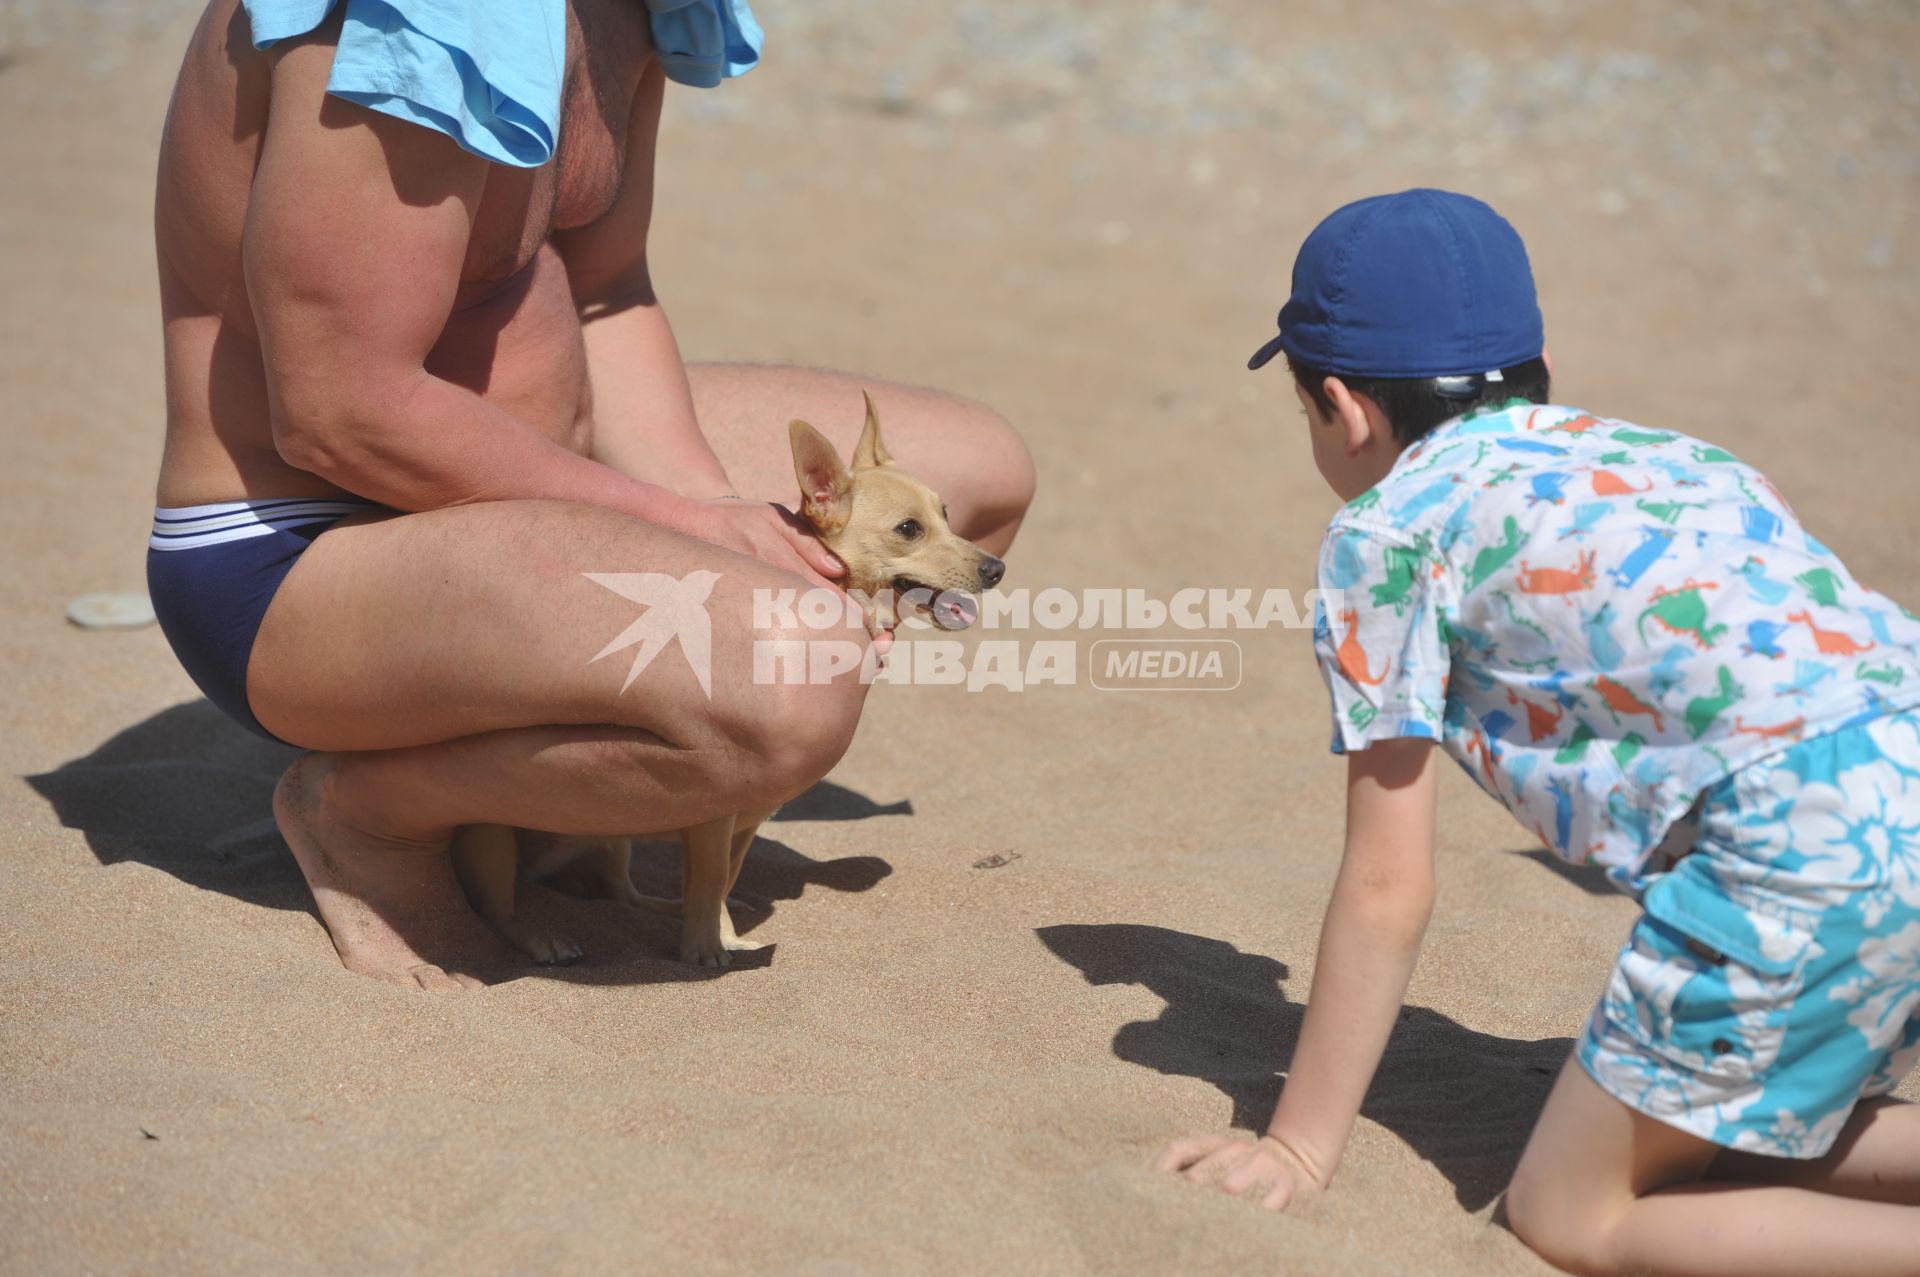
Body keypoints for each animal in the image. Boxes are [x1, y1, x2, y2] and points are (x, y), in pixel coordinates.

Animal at [441, 391, 998, 967]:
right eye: (909, 529)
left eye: (947, 516)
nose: (996, 568)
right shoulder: (712, 824)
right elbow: (710, 882)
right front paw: (705, 951)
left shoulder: (743, 829)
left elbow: (723, 883)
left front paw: (722, 935)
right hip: (493, 837)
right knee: (498, 909)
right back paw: (539, 936)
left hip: (611, 842)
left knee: (620, 892)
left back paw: (658, 907)